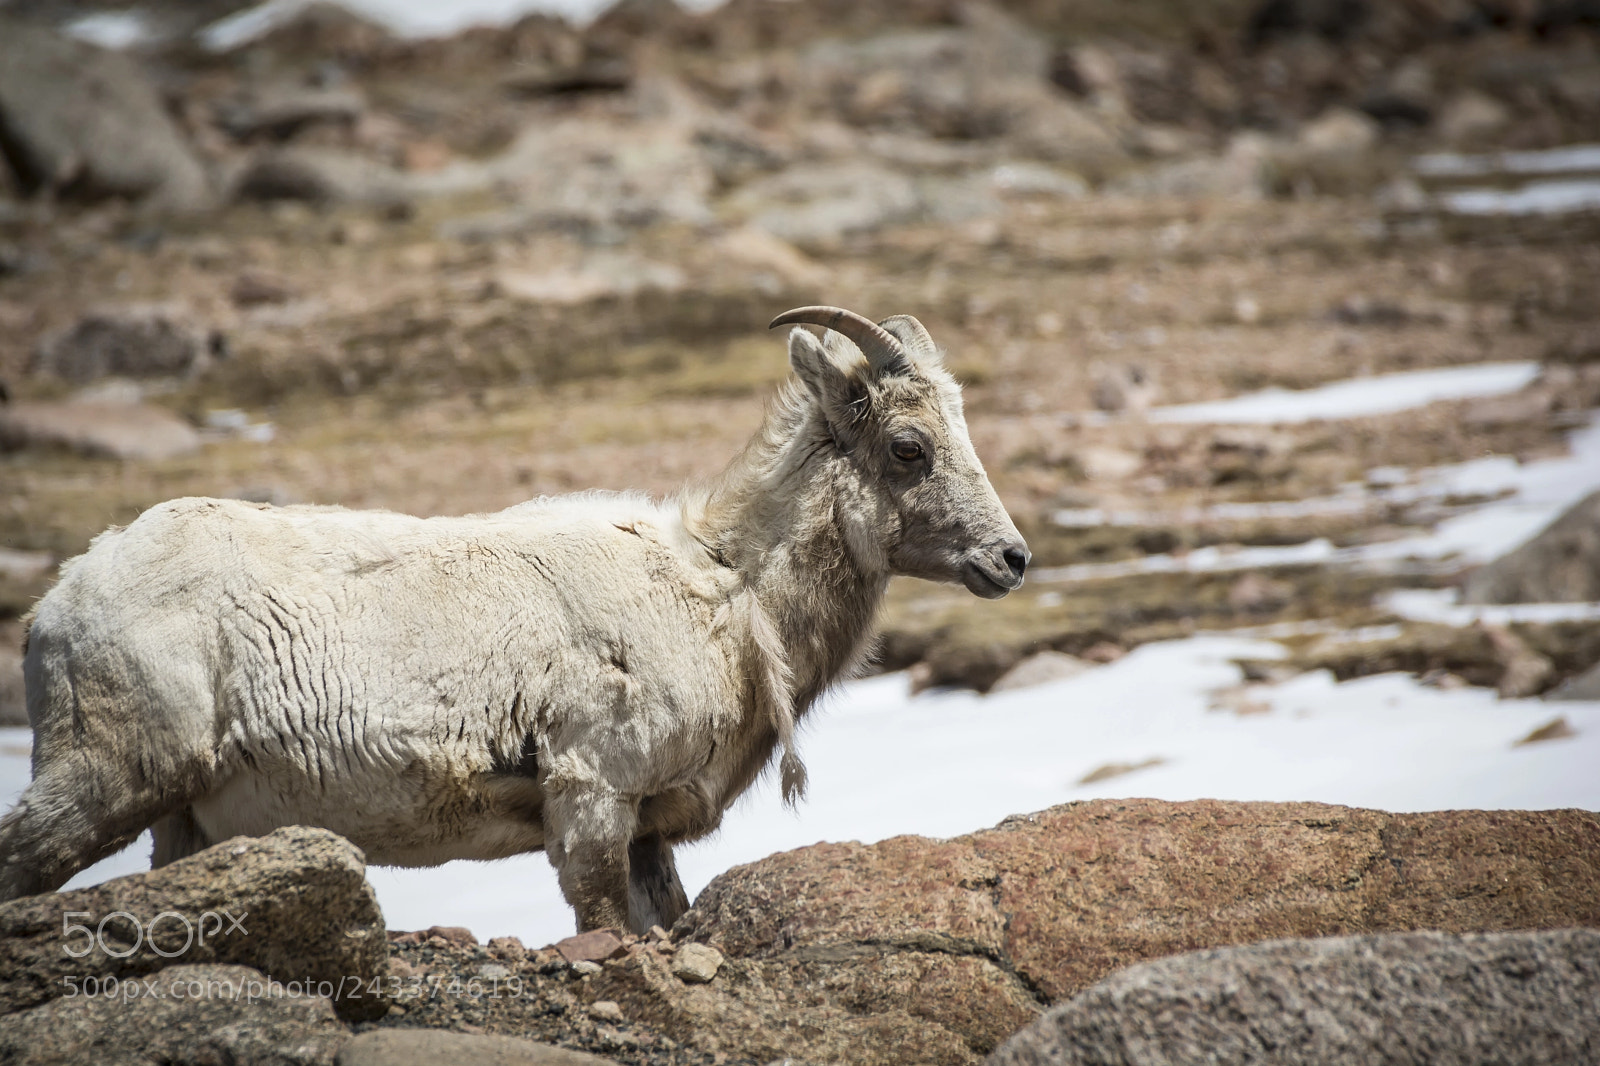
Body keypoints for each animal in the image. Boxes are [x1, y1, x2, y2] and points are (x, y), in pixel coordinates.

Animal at [0, 306, 1030, 933]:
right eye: (909, 447)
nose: (1012, 560)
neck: (724, 595)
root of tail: (56, 608)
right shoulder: (590, 793)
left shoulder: (646, 829)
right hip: (106, 776)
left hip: (185, 820)